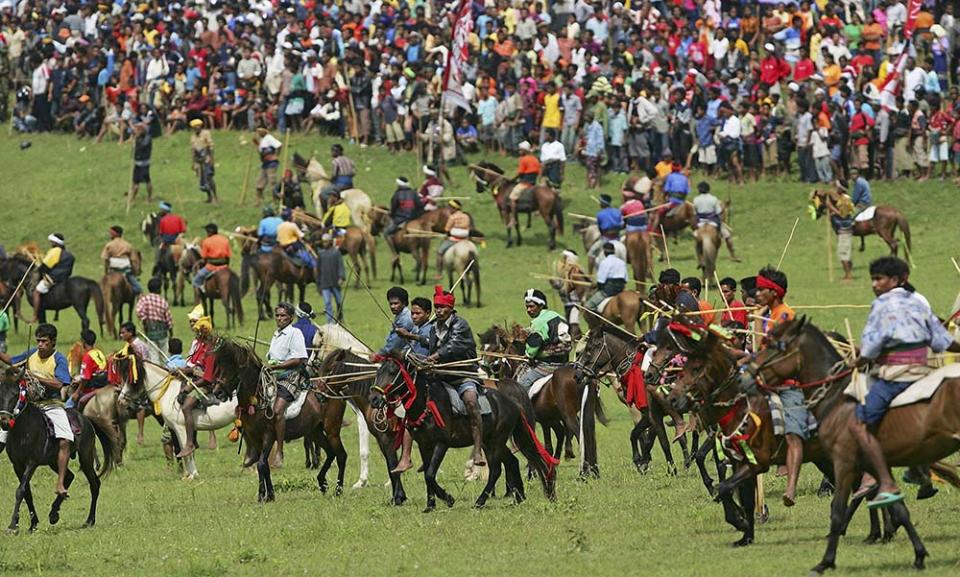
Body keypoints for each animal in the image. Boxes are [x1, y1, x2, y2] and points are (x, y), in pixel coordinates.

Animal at [214, 340, 352, 502]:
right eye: (219, 368)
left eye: (231, 369)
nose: (217, 392)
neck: (258, 400)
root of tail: (333, 390)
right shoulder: (255, 438)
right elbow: (264, 465)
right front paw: (269, 495)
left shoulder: (268, 436)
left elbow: (261, 464)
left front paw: (262, 495)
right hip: (315, 431)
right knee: (331, 453)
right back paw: (322, 483)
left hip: (332, 430)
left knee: (341, 455)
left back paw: (338, 490)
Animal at [372, 354, 560, 510]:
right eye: (378, 372)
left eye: (392, 372)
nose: (374, 398)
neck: (427, 403)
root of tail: (512, 403)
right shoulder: (425, 445)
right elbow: (427, 473)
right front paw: (430, 505)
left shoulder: (441, 444)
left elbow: (430, 475)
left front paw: (448, 499)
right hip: (490, 442)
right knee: (512, 462)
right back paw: (519, 498)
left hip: (496, 442)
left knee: (496, 470)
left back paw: (480, 501)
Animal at [476, 324, 604, 476]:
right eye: (483, 348)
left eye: (495, 349)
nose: (483, 368)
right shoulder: (548, 420)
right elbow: (556, 438)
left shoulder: (540, 421)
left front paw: (534, 471)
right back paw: (593, 470)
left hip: (569, 415)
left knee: (580, 434)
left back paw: (584, 472)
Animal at [744, 318, 960, 572]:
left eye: (775, 345)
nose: (746, 373)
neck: (837, 398)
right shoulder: (871, 464)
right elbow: (897, 506)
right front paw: (918, 553)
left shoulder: (844, 463)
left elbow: (839, 510)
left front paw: (825, 561)